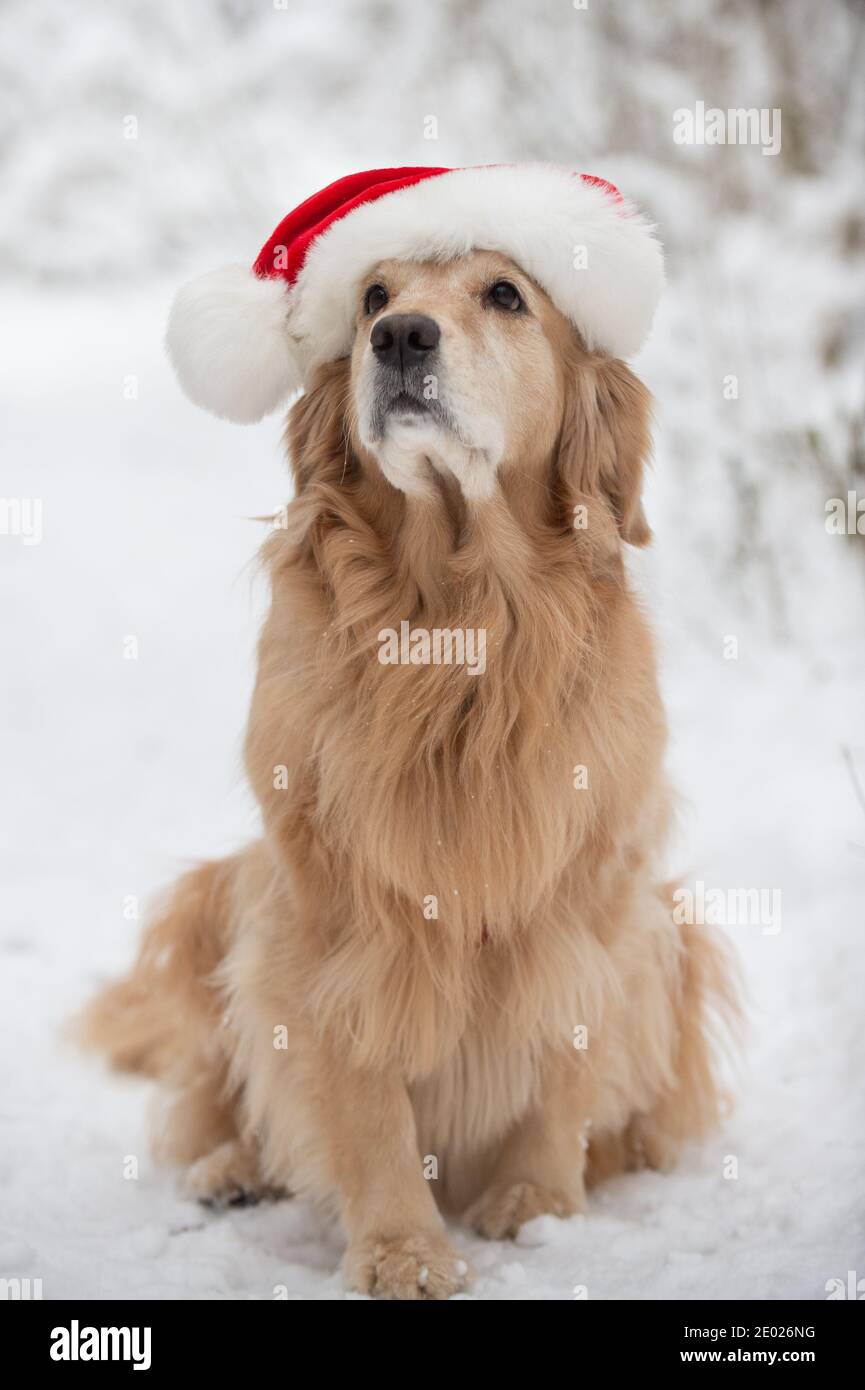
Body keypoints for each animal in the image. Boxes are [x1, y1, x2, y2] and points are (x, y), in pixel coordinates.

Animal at [79, 168, 739, 1295]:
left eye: (506, 295)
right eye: (372, 297)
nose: (400, 339)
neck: (457, 624)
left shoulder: (597, 902)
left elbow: (562, 1060)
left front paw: (539, 1208)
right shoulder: (328, 913)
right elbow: (362, 1100)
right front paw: (401, 1247)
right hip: (224, 893)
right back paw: (232, 1168)